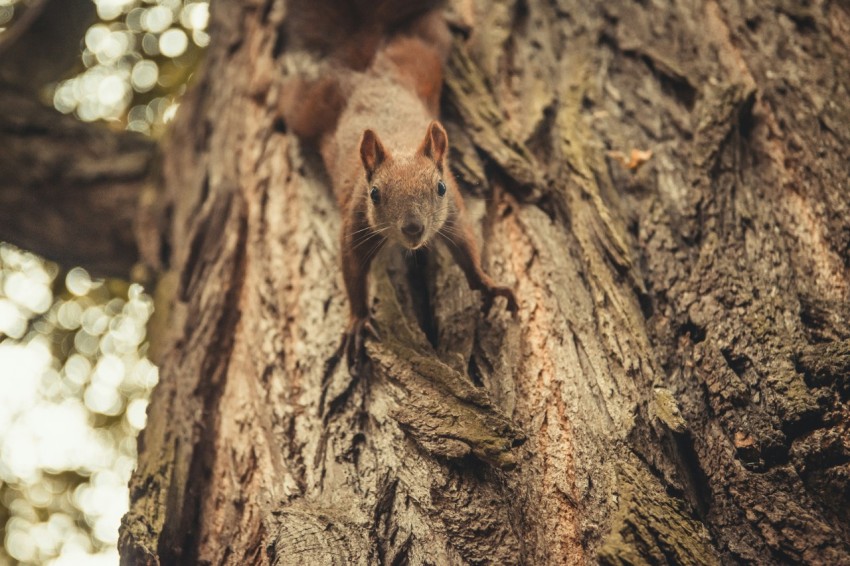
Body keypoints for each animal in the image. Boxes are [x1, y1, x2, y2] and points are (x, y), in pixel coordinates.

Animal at [280, 3, 519, 367]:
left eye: (440, 188)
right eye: (374, 194)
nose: (413, 228)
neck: (401, 145)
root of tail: (367, 68)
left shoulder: (452, 211)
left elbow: (466, 246)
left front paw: (487, 283)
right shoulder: (356, 220)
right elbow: (352, 269)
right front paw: (358, 319)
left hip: (422, 57)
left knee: (427, 30)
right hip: (315, 110)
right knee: (294, 99)